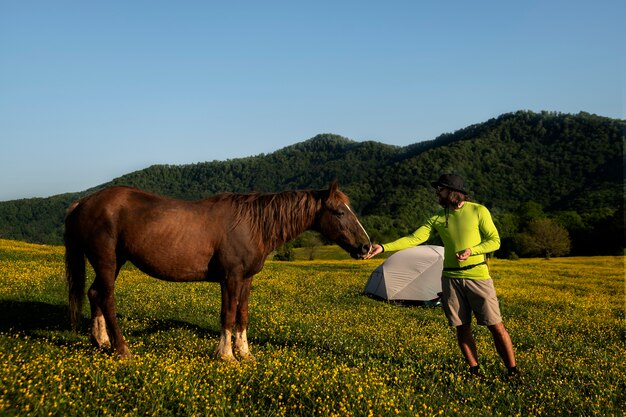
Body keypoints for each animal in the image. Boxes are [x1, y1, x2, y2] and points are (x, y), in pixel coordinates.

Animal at [62, 183, 368, 360]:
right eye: (340, 212)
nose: (366, 247)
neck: (252, 224)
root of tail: (84, 202)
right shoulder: (230, 278)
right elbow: (228, 314)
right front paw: (226, 355)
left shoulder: (246, 280)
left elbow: (242, 315)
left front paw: (245, 353)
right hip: (107, 261)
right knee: (107, 299)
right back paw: (121, 348)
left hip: (114, 262)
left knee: (95, 294)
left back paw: (100, 341)